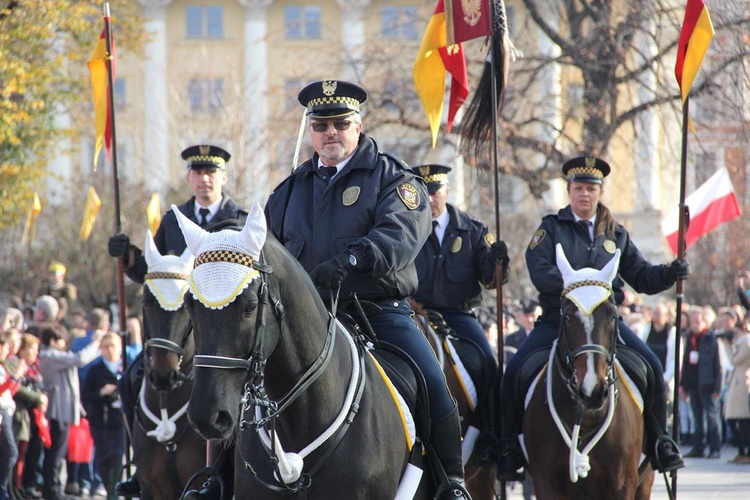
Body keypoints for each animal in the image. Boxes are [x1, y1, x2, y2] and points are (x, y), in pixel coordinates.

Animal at [524, 246, 652, 500]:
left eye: (612, 314)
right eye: (567, 316)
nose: (592, 390)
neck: (584, 418)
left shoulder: (623, 486)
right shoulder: (545, 484)